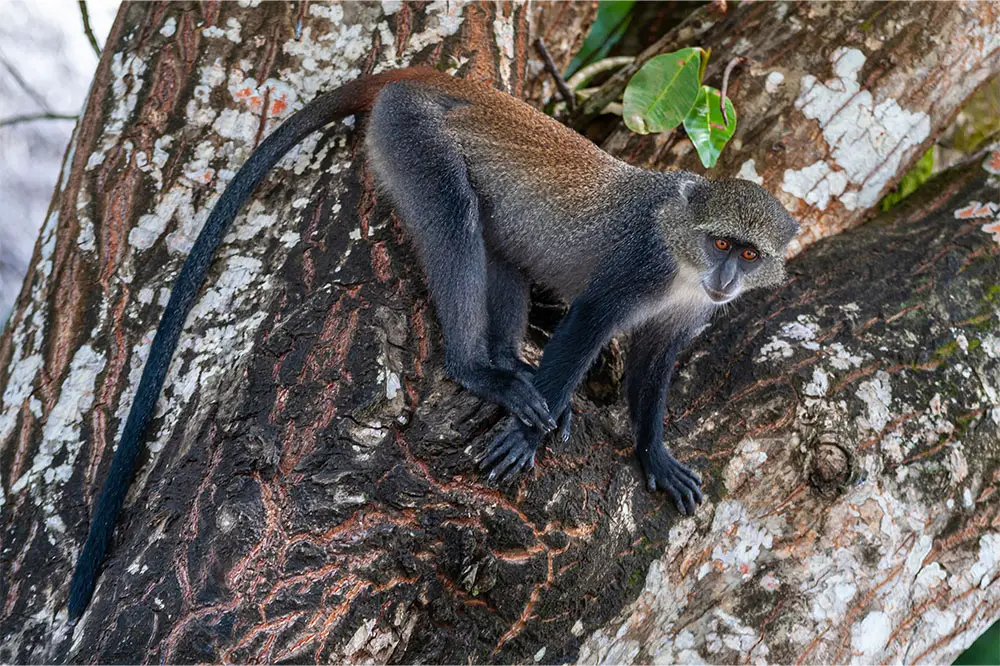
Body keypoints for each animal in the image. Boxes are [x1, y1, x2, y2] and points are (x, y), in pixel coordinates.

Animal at [66, 65, 800, 620]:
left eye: (747, 252)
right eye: (719, 243)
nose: (726, 278)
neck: (684, 260)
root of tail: (417, 76)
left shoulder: (687, 314)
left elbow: (655, 361)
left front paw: (655, 454)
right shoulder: (637, 269)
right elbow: (588, 321)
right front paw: (525, 435)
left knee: (501, 255)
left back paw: (513, 371)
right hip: (410, 136)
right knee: (455, 220)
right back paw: (482, 372)